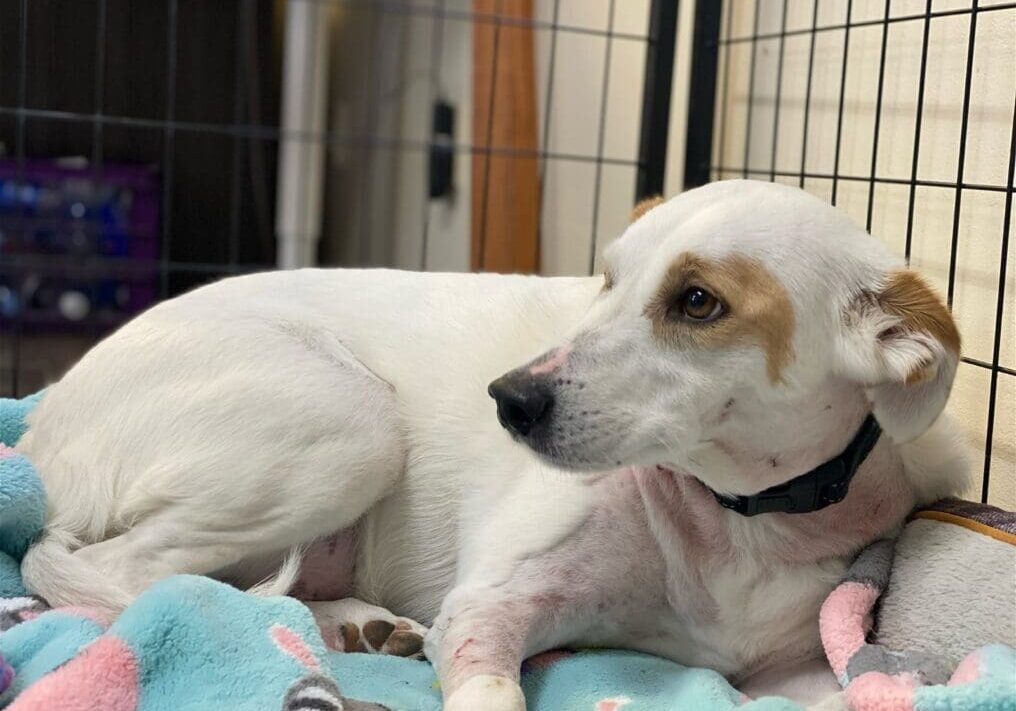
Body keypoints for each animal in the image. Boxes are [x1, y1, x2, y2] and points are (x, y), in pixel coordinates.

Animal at [19, 180, 963, 706]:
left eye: (699, 301)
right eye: (608, 279)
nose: (508, 398)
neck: (741, 520)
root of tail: (42, 423)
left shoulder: (789, 675)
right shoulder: (488, 609)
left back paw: (350, 624)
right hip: (354, 422)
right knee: (137, 577)